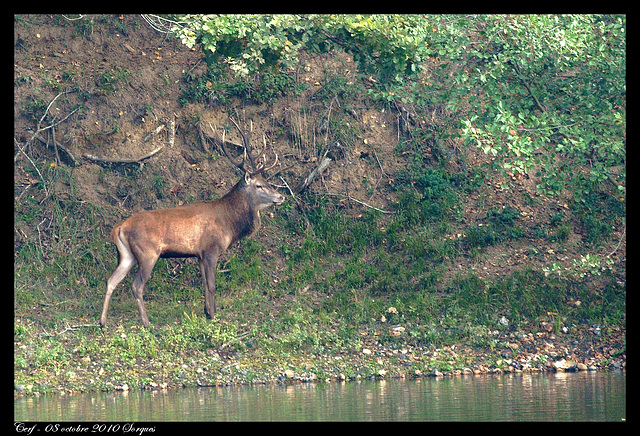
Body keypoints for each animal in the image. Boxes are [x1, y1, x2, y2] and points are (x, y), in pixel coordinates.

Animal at [99, 119, 284, 328]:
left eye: (266, 181)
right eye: (259, 185)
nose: (281, 196)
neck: (229, 223)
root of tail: (119, 228)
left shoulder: (199, 254)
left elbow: (204, 283)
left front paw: (207, 312)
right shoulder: (211, 249)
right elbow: (212, 284)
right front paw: (213, 315)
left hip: (126, 255)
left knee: (111, 280)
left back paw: (102, 321)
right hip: (147, 253)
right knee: (136, 286)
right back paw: (147, 323)